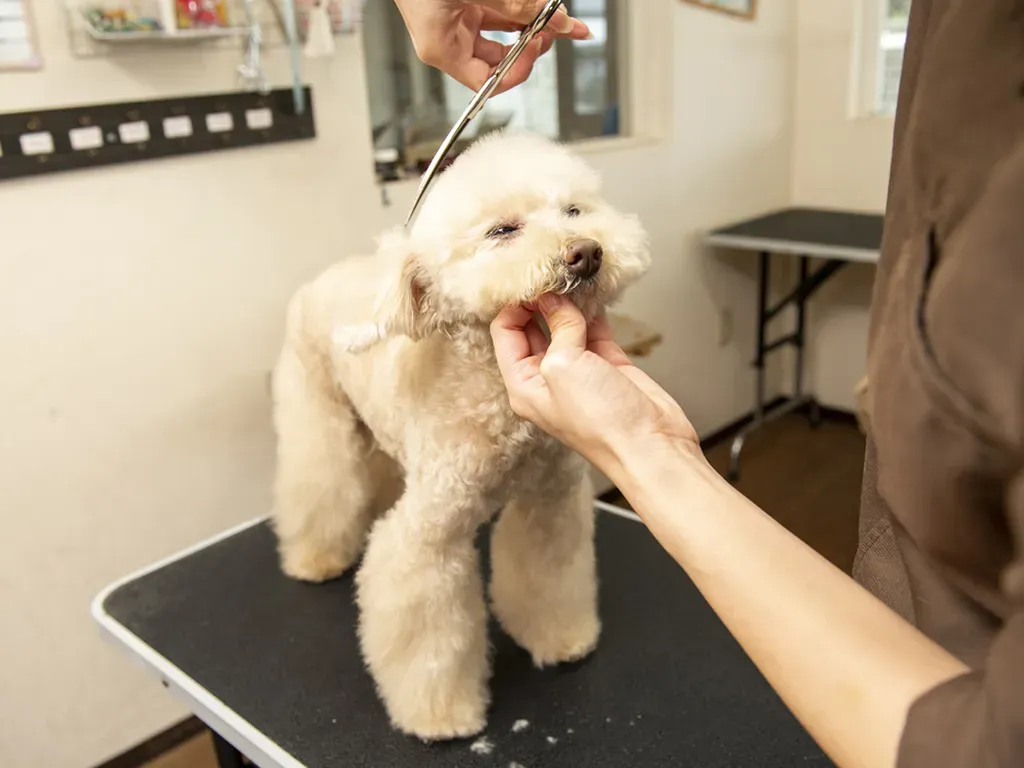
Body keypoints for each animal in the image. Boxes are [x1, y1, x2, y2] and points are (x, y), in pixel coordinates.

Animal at [268, 134, 643, 745]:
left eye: (573, 210)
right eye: (502, 231)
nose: (586, 253)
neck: (493, 394)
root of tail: (318, 280)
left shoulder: (549, 503)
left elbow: (549, 576)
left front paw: (561, 638)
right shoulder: (429, 538)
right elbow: (428, 632)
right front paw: (440, 715)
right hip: (315, 412)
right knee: (317, 480)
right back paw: (315, 556)